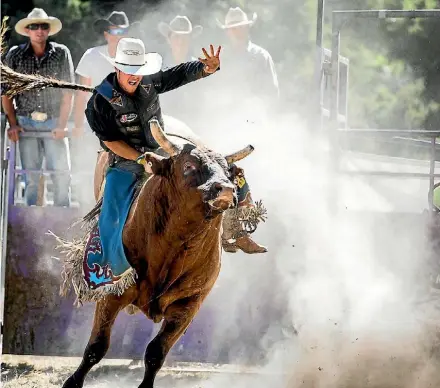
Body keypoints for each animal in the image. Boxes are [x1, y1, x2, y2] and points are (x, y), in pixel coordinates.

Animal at [63, 119, 253, 388]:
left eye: (228, 172)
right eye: (189, 165)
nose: (225, 190)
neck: (171, 249)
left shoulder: (189, 304)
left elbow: (156, 352)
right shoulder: (111, 292)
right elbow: (96, 347)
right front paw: (72, 382)